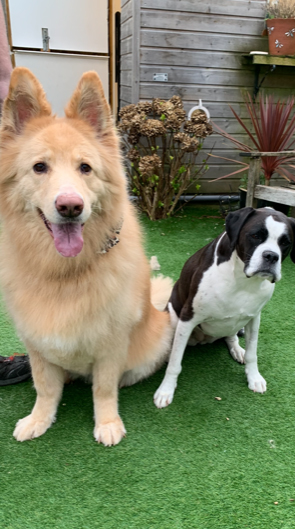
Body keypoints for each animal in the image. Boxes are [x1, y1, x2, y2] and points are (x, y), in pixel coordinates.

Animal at [0, 68, 173, 444]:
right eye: (39, 167)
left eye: (85, 168)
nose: (70, 207)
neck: (64, 272)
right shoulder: (36, 343)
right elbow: (45, 387)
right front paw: (39, 419)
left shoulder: (111, 343)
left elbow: (104, 389)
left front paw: (107, 423)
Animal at [155, 206, 295, 408]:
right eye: (255, 235)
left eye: (285, 243)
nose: (271, 256)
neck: (243, 280)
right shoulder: (188, 318)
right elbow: (175, 361)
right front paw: (165, 390)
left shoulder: (254, 318)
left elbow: (253, 353)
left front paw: (254, 378)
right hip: (175, 318)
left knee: (231, 337)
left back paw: (237, 350)